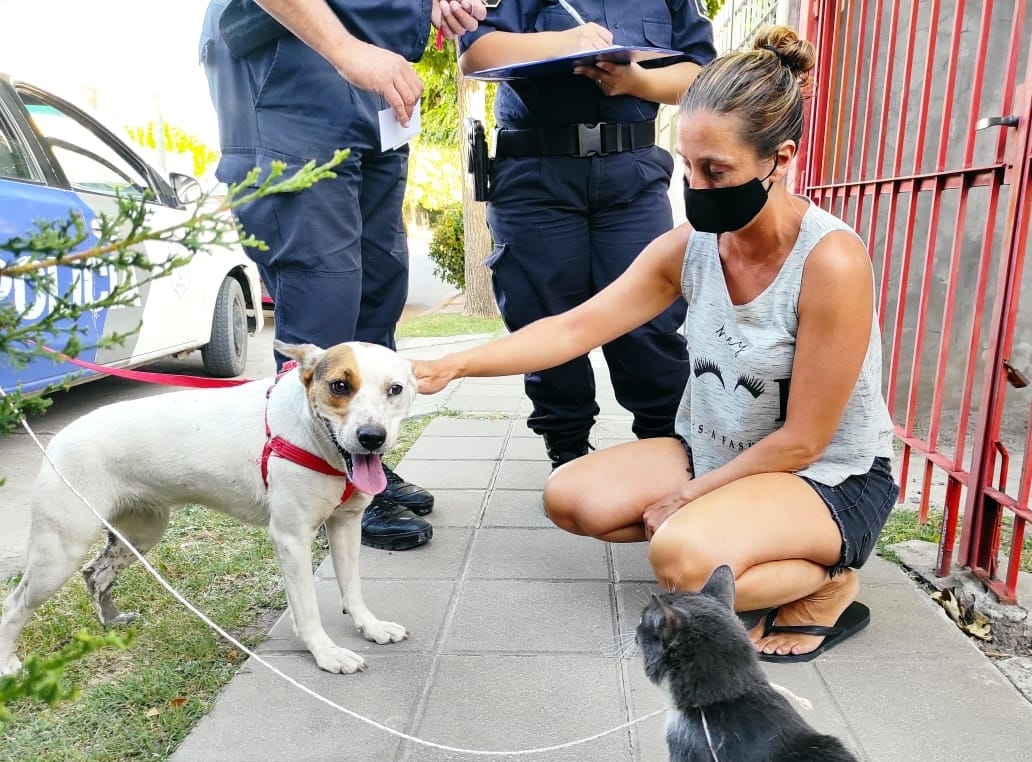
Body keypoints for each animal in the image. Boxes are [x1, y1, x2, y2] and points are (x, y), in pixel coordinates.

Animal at [2, 340, 418, 673]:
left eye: (395, 389)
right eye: (339, 386)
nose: (372, 437)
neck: (316, 439)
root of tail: (60, 437)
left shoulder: (346, 525)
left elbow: (353, 588)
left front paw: (370, 627)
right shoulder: (292, 539)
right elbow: (308, 609)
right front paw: (326, 653)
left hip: (141, 533)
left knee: (96, 573)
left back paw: (112, 622)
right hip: (60, 551)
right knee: (15, 604)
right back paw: (9, 665)